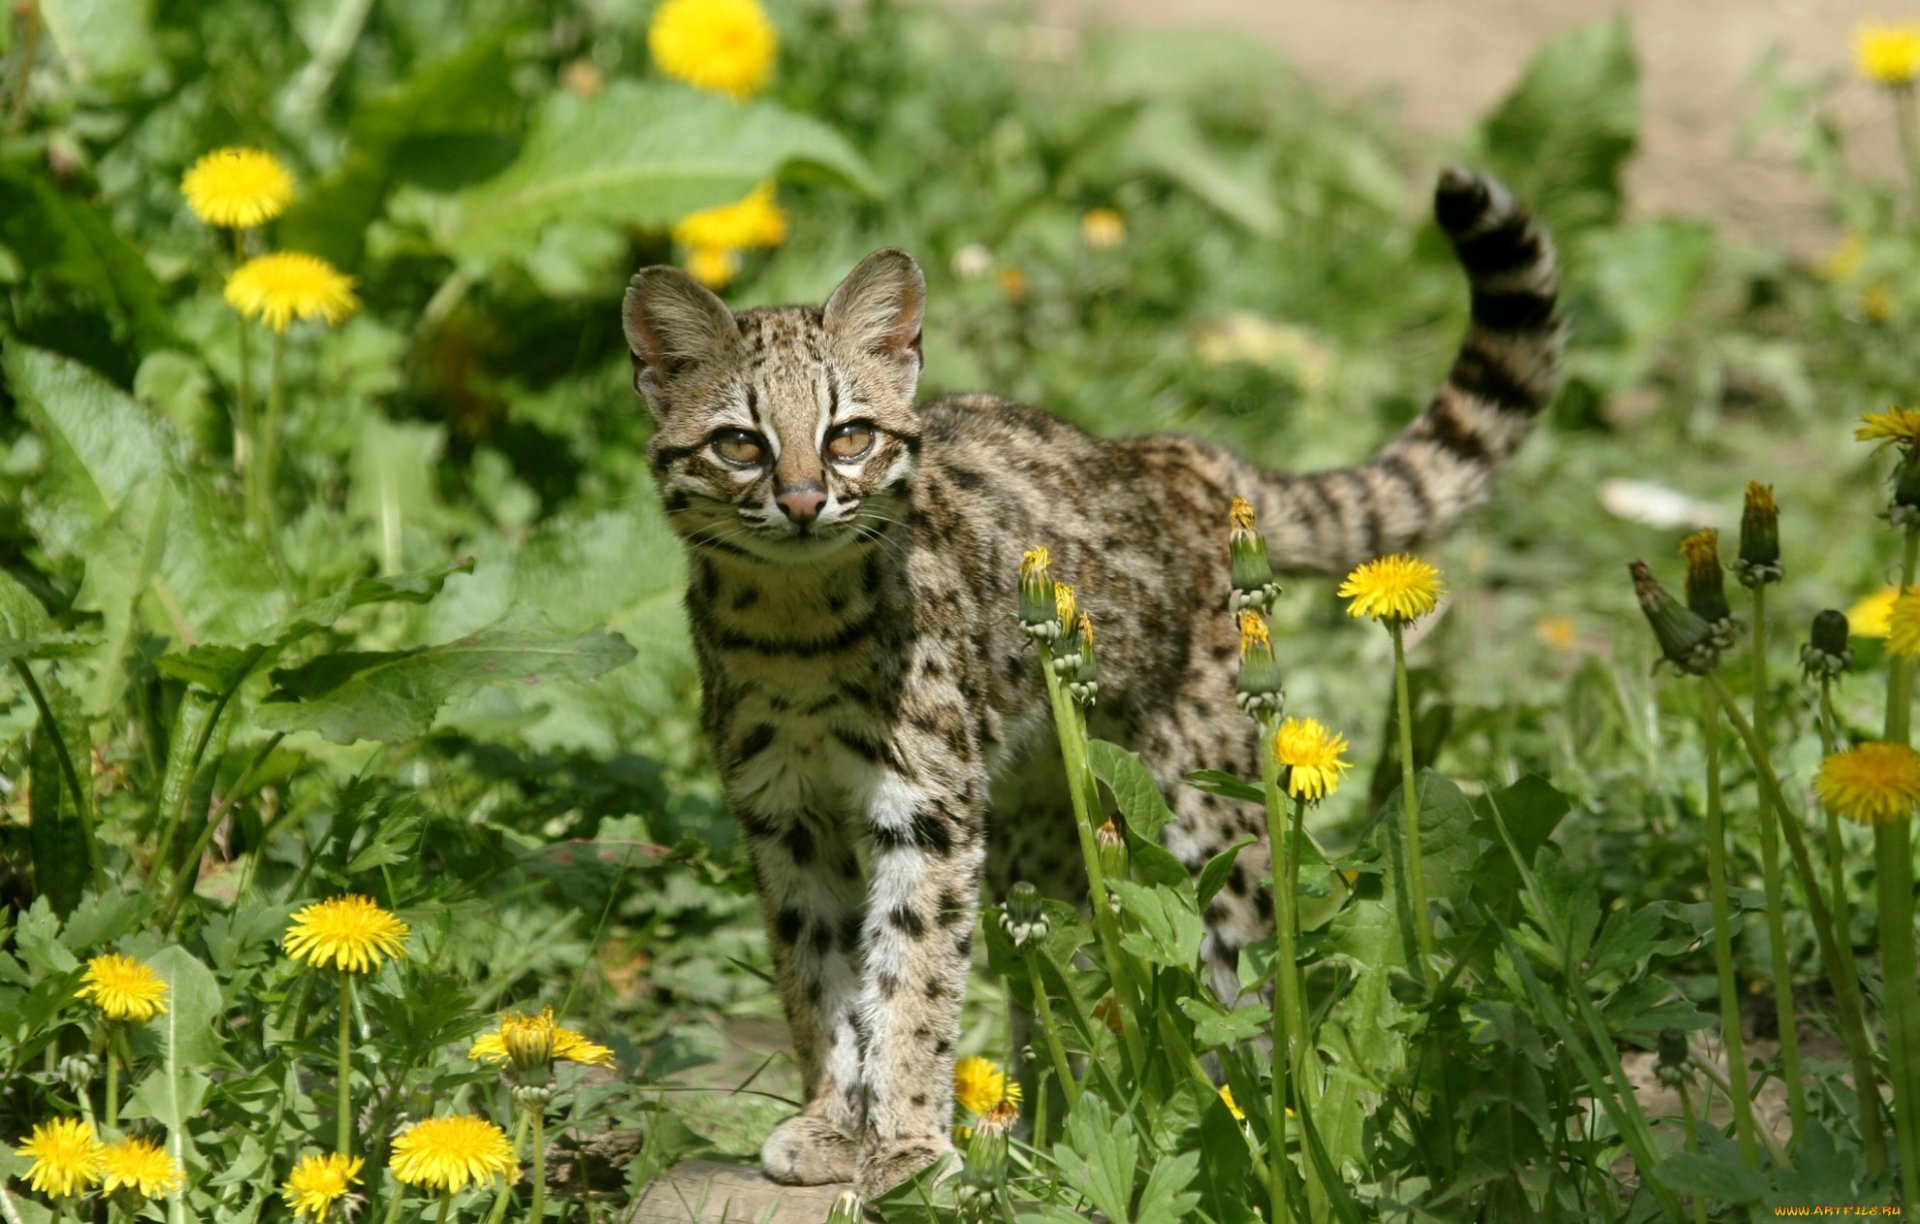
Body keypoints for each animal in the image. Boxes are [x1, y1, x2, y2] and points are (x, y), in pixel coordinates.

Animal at [618, 167, 1559, 1197]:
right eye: (741, 445)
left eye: (849, 436)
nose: (800, 501)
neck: (795, 625)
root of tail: (1178, 453)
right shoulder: (782, 808)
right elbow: (814, 971)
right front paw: (835, 1119)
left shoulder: (926, 806)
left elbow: (913, 975)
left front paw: (905, 1143)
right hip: (1044, 839)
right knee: (1064, 977)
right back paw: (1049, 1125)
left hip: (1208, 815)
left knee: (1253, 972)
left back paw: (1264, 1121)